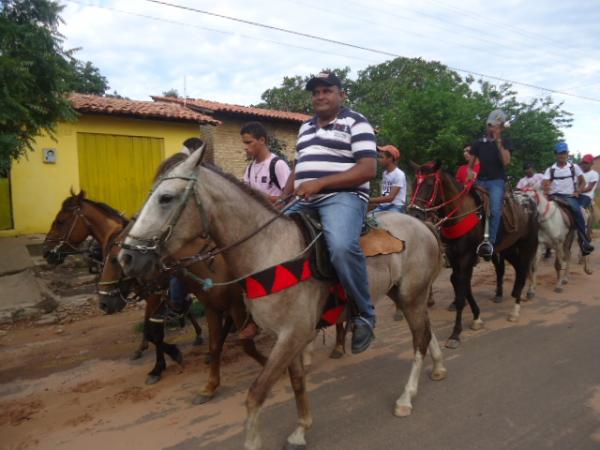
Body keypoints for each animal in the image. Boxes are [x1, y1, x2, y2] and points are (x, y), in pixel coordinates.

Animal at [117, 149, 446, 450]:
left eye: (166, 198)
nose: (127, 257)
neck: (270, 250)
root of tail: (421, 225)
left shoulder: (293, 333)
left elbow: (256, 393)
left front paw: (253, 441)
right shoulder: (287, 336)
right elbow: (297, 382)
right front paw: (301, 430)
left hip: (412, 296)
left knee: (418, 340)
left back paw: (406, 398)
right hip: (404, 295)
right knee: (427, 332)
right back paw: (439, 368)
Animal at [408, 162, 540, 348]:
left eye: (429, 184)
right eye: (413, 184)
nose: (414, 214)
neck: (459, 215)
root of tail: (530, 199)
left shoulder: (466, 258)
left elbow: (461, 292)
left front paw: (455, 334)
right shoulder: (456, 258)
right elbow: (462, 286)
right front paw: (477, 318)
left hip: (527, 244)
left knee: (524, 269)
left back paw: (515, 310)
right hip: (508, 247)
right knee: (519, 268)